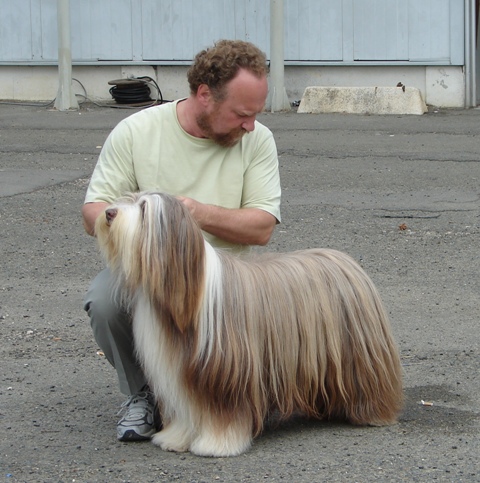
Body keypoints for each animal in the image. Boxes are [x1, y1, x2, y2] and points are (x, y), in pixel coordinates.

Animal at [95, 191, 404, 456]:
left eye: (144, 209)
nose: (108, 213)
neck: (190, 290)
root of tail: (346, 261)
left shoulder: (223, 374)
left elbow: (223, 416)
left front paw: (216, 444)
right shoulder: (178, 372)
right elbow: (186, 411)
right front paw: (175, 438)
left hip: (359, 356)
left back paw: (373, 414)